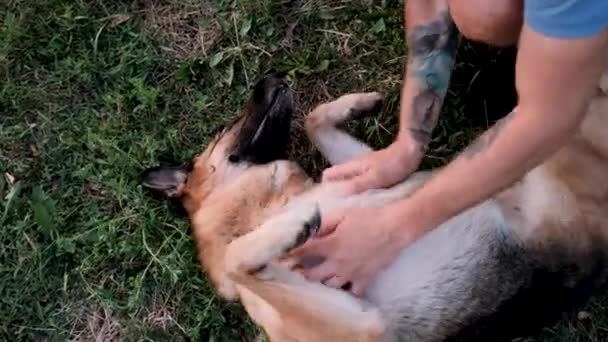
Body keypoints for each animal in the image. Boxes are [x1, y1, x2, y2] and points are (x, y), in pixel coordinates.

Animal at [141, 73, 608, 342]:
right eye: (225, 129)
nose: (272, 74)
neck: (264, 208)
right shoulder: (363, 326)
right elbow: (240, 258)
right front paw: (294, 227)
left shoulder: (356, 175)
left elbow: (315, 119)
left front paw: (358, 103)